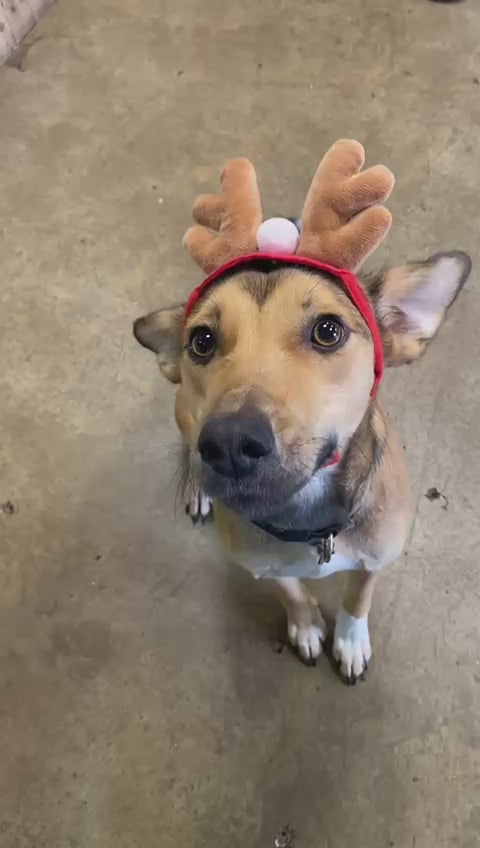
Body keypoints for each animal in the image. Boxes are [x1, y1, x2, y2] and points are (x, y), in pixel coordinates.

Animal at [133, 139, 470, 684]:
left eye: (328, 331)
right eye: (201, 341)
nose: (229, 444)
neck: (308, 522)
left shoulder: (378, 556)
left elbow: (358, 596)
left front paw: (350, 640)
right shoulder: (259, 563)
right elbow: (290, 591)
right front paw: (308, 625)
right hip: (182, 412)